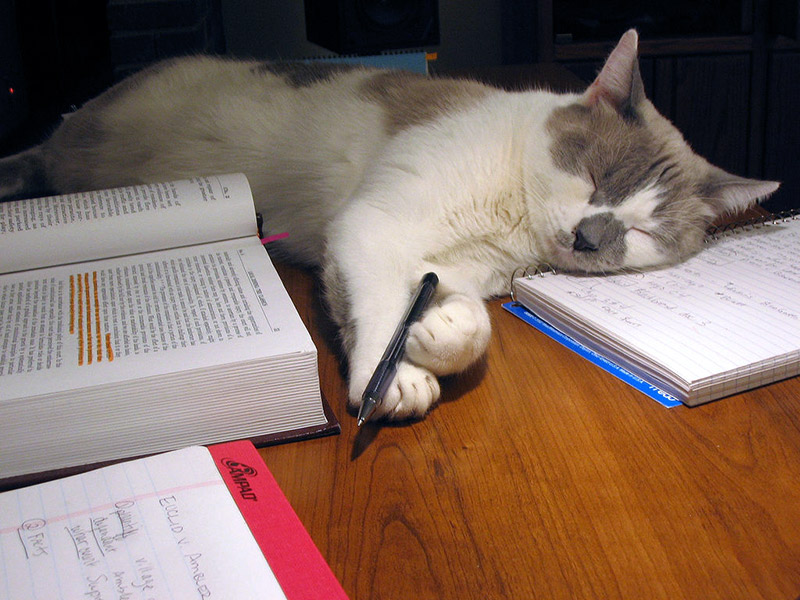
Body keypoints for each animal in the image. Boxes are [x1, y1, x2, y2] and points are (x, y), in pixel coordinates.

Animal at [0, 29, 776, 422]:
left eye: (642, 234)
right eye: (595, 180)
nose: (589, 238)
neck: (511, 223)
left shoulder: (452, 267)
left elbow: (466, 322)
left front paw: (436, 332)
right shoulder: (370, 228)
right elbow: (375, 310)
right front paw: (391, 374)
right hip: (82, 151)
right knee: (39, 159)